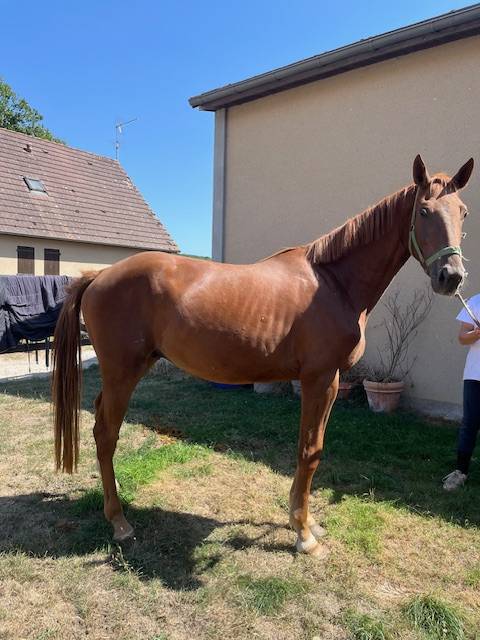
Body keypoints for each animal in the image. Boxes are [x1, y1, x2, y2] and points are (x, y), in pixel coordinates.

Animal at [52, 155, 474, 557]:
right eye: (423, 211)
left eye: (464, 211)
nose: (451, 276)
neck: (334, 283)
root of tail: (99, 276)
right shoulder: (319, 379)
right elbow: (310, 451)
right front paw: (304, 535)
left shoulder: (332, 382)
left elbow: (312, 448)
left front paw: (304, 521)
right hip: (123, 373)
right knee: (106, 434)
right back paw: (119, 521)